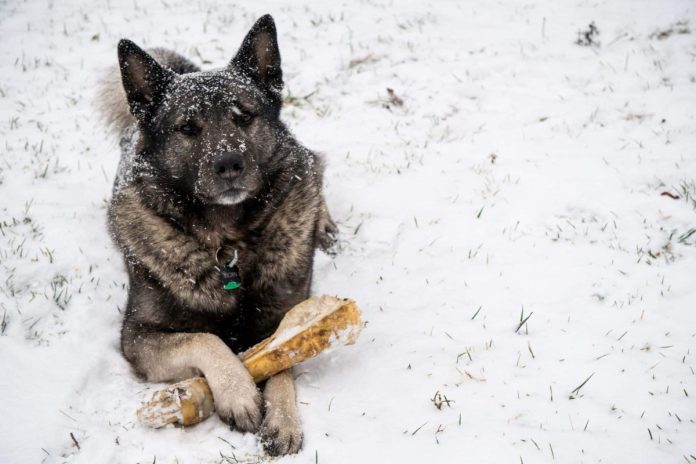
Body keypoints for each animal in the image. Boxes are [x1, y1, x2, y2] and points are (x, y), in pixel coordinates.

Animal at [101, 14, 337, 456]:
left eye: (244, 116)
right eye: (187, 127)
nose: (229, 164)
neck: (228, 243)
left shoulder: (283, 319)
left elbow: (282, 359)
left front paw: (283, 419)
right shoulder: (138, 336)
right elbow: (205, 340)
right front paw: (238, 392)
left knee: (314, 165)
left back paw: (325, 226)